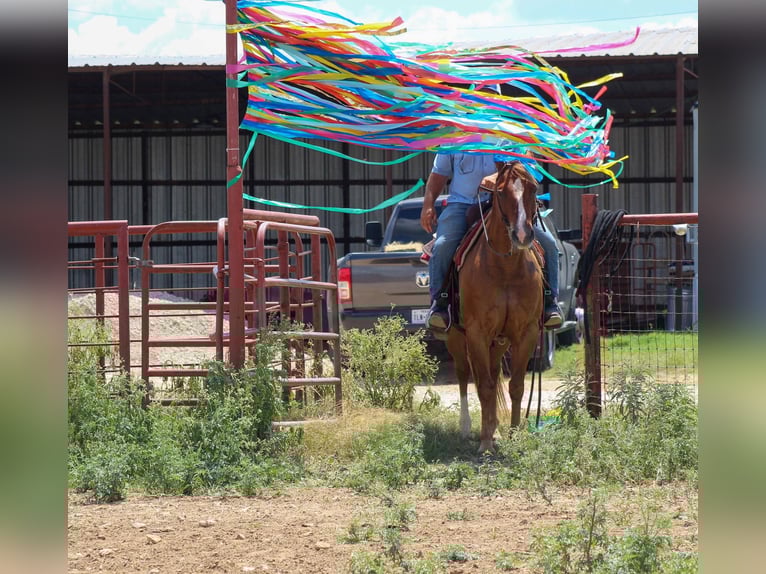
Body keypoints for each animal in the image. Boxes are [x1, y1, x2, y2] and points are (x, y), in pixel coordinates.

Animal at [445, 160, 543, 454]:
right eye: (500, 192)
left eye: (534, 188)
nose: (522, 234)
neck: (505, 269)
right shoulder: (477, 333)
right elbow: (485, 386)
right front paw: (486, 442)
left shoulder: (526, 333)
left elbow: (517, 386)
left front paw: (513, 434)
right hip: (455, 337)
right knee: (465, 375)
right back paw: (468, 427)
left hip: (498, 342)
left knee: (493, 372)